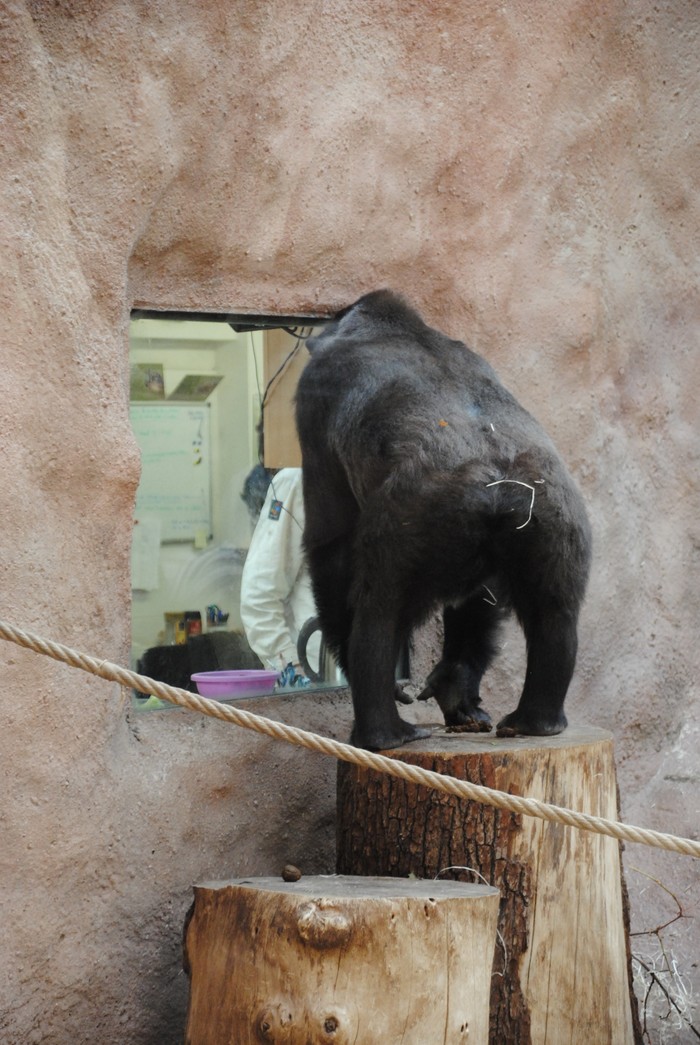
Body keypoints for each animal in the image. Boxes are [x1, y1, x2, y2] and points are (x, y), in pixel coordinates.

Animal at [294, 292, 593, 752]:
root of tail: (498, 481)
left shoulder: (315, 391)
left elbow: (330, 542)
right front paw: (457, 679)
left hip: (421, 520)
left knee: (380, 608)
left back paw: (383, 733)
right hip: (551, 515)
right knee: (553, 612)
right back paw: (535, 720)